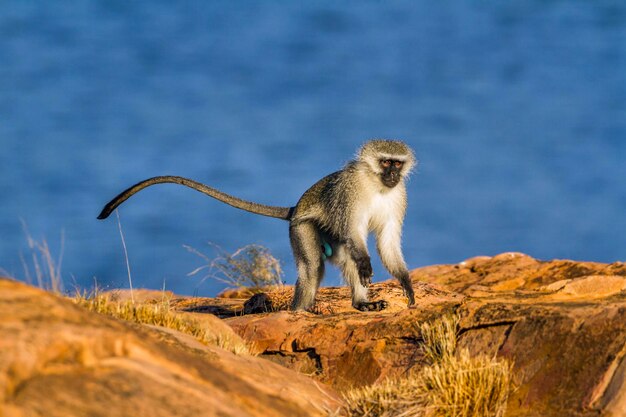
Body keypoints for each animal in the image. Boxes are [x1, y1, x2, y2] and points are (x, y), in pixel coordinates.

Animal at [98, 138, 414, 310]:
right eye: (386, 162)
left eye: (397, 164)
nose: (393, 175)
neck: (376, 185)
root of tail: (295, 208)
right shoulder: (352, 192)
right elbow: (354, 233)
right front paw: (368, 267)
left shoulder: (398, 195)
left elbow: (387, 240)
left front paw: (406, 284)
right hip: (301, 228)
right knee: (315, 267)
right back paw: (300, 311)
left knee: (342, 258)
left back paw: (360, 304)